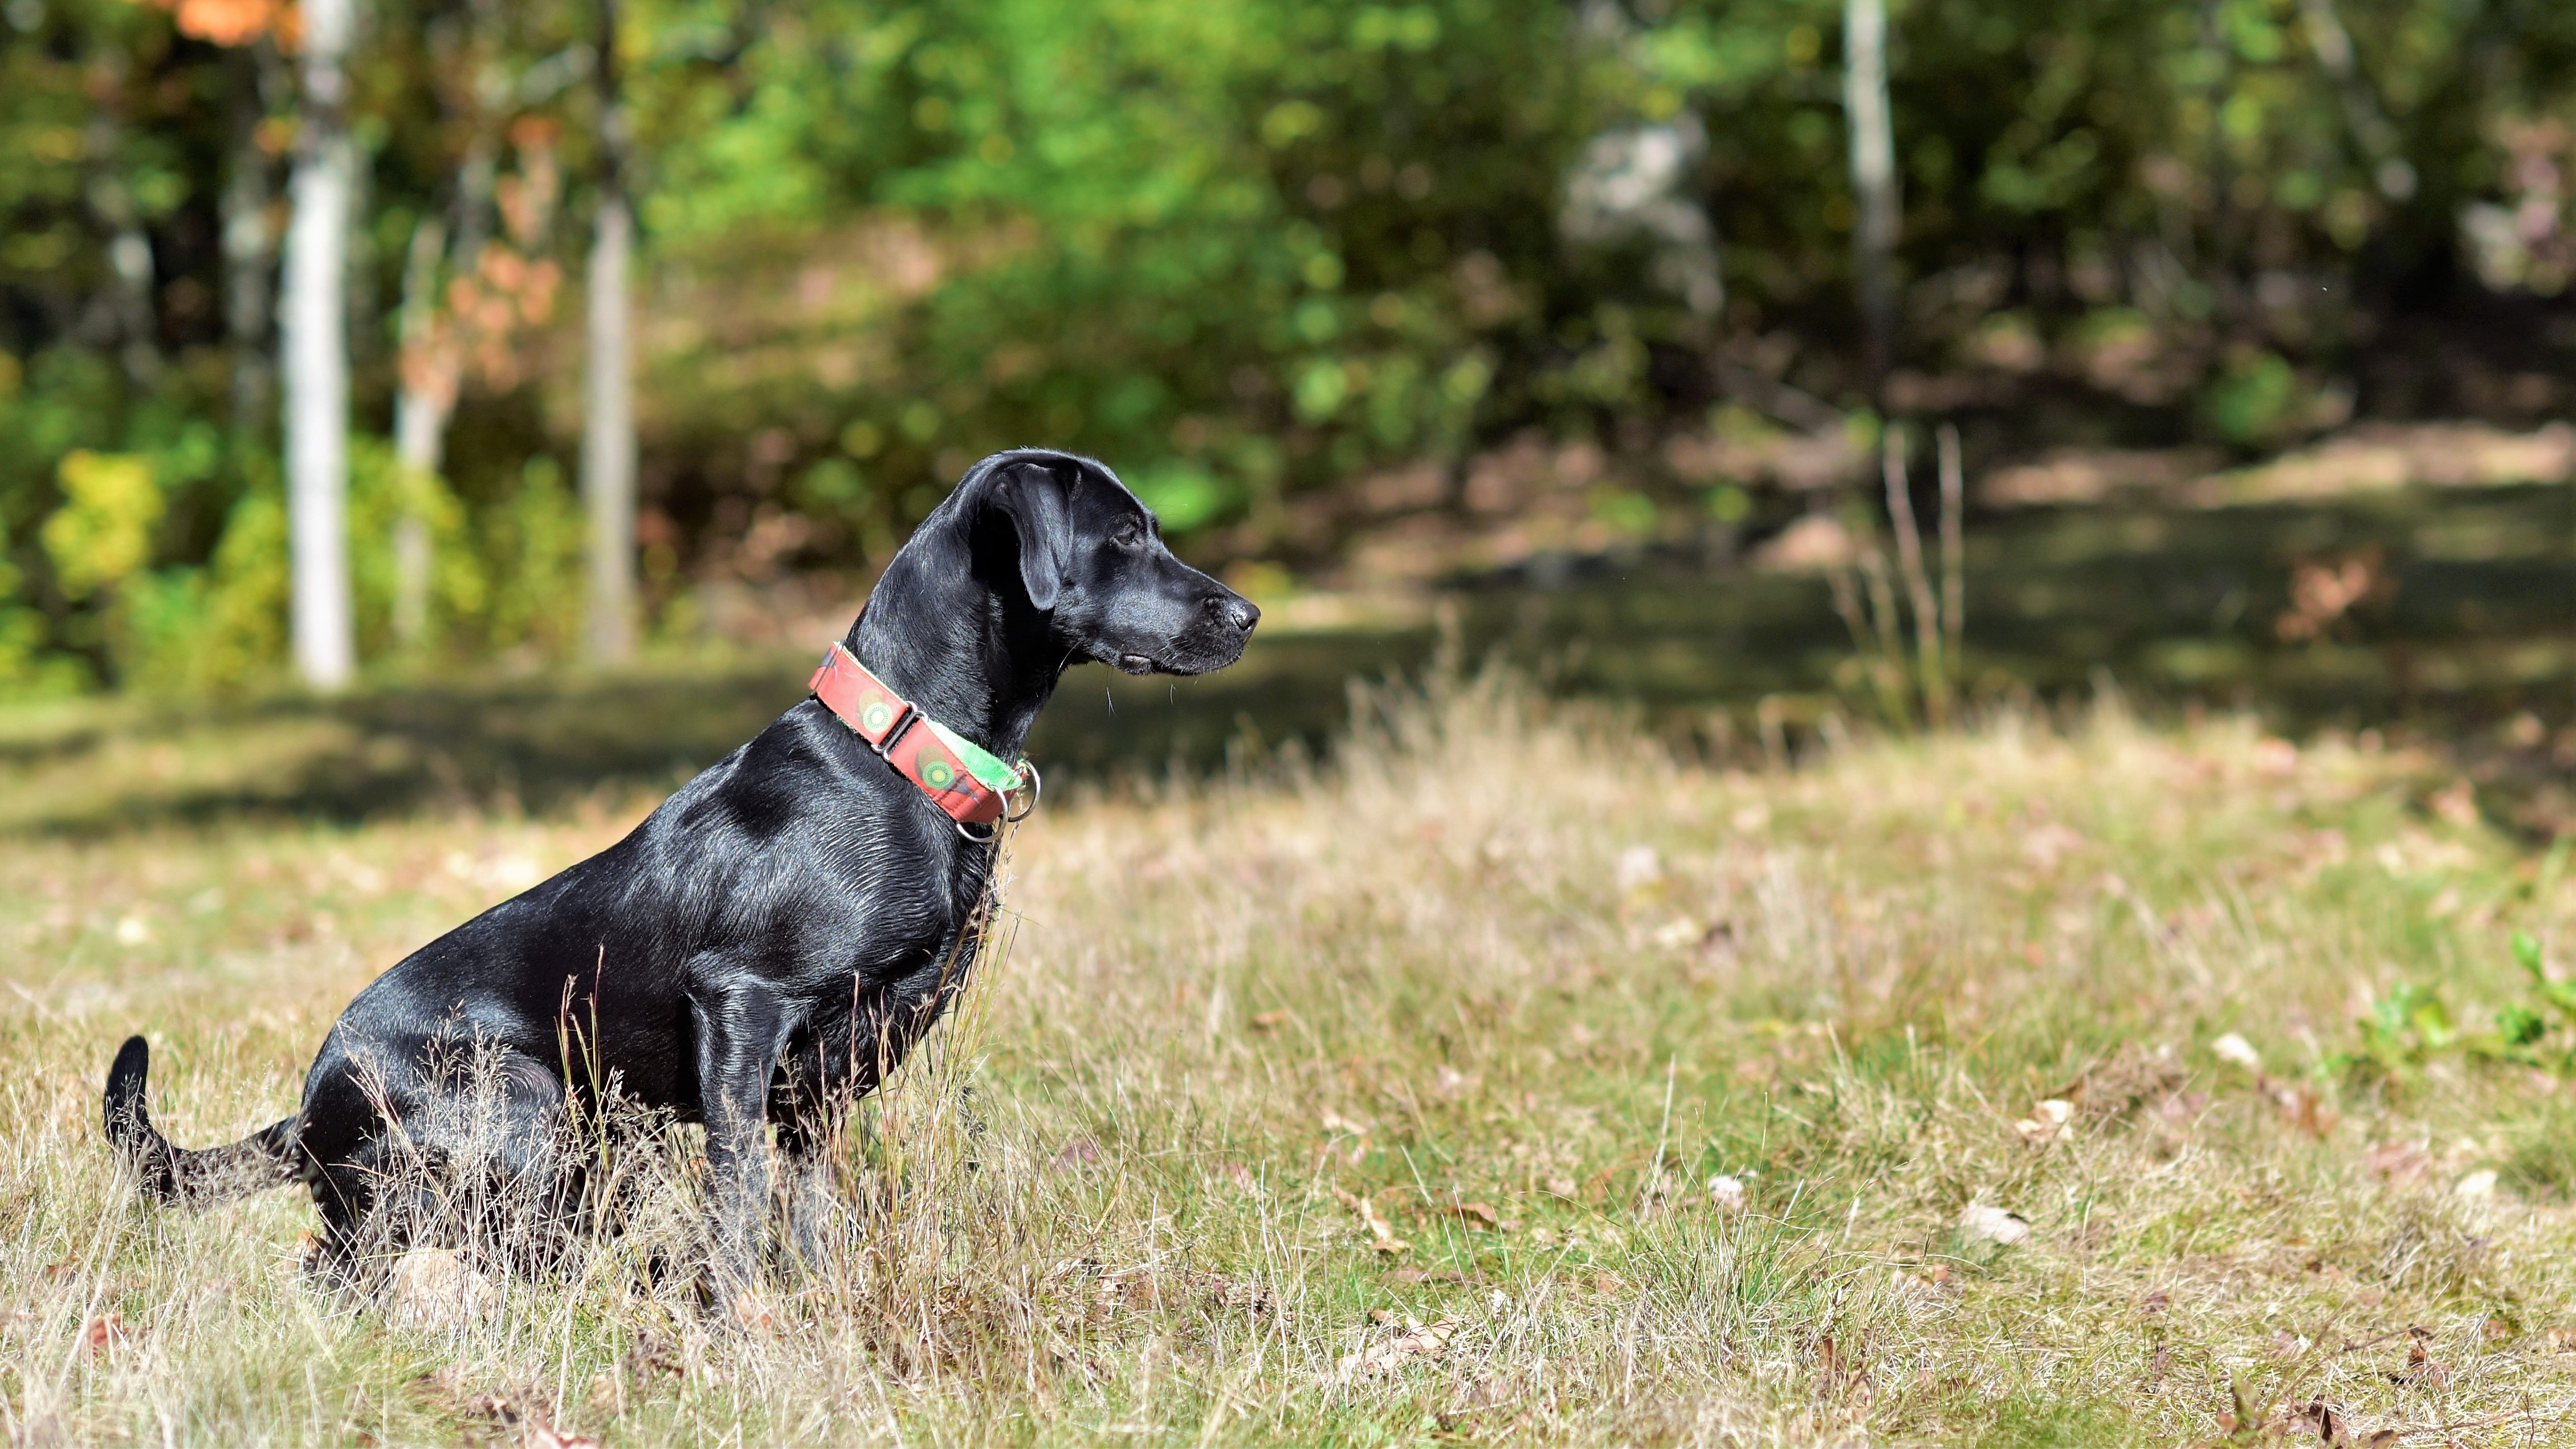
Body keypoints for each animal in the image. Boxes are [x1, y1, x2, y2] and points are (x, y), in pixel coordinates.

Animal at [100, 449, 1257, 1299]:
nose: (1246, 615)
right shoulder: (742, 1006)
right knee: (362, 1263)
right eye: (1124, 538)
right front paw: (738, 1320)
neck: (902, 759)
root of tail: (306, 1113)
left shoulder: (821, 1086)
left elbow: (810, 1207)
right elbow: (740, 1193)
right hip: (530, 1110)